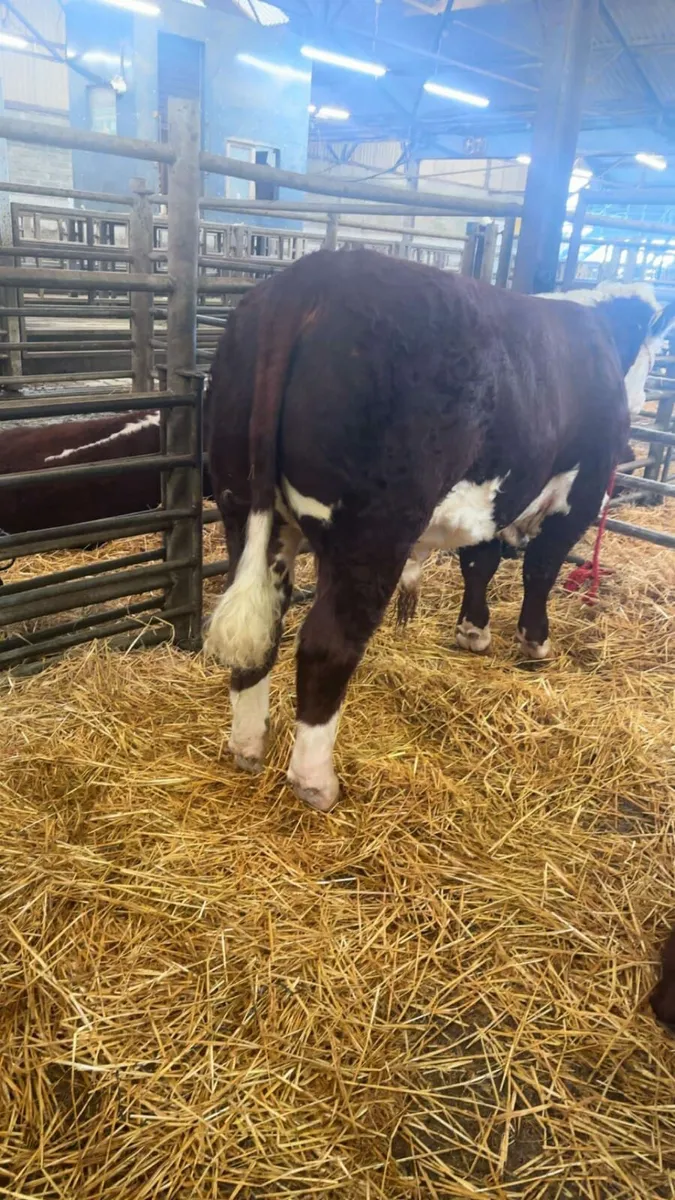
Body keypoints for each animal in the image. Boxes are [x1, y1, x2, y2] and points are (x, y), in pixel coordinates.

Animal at [204, 249, 675, 812]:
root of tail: (306, 280)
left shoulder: (499, 493)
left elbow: (479, 561)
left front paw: (472, 631)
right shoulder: (579, 491)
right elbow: (540, 569)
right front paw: (534, 642)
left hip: (242, 506)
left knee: (263, 626)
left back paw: (248, 745)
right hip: (373, 530)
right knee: (326, 643)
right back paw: (316, 782)